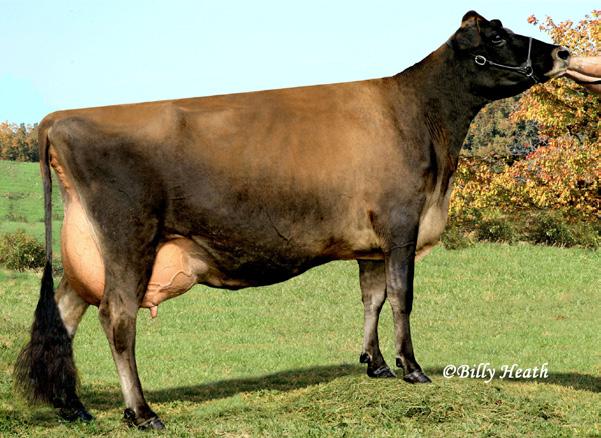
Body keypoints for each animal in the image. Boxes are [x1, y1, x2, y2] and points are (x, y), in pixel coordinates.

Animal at [14, 11, 570, 429]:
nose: (561, 53)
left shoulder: (371, 243)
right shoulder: (401, 224)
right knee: (117, 316)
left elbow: (372, 298)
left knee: (65, 313)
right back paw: (142, 412)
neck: (422, 121)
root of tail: (59, 118)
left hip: (87, 253)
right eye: (496, 35)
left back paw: (72, 407)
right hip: (129, 238)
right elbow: (402, 298)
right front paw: (412, 369)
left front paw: (376, 366)